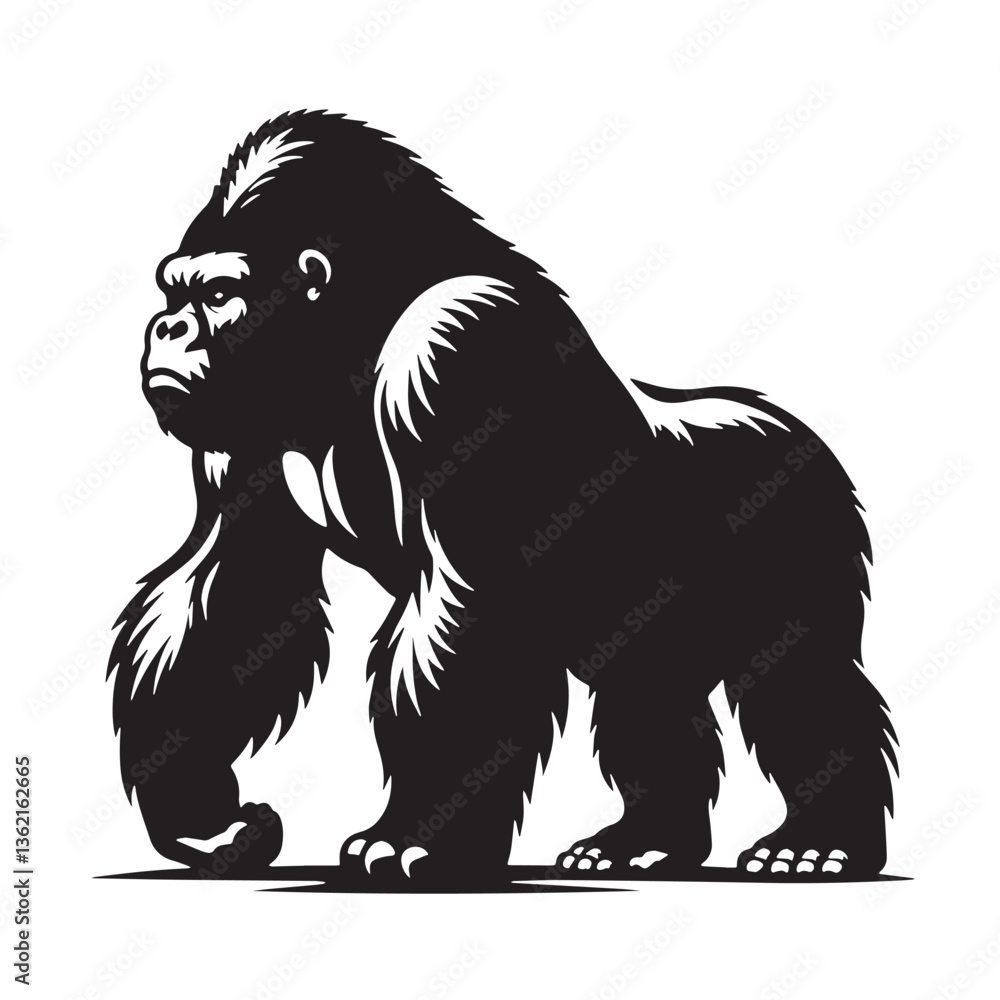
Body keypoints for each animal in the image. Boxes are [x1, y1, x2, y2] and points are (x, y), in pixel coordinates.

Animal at [108, 110, 896, 882]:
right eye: (172, 291)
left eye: (215, 295)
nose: (166, 327)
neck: (350, 335)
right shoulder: (238, 438)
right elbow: (228, 593)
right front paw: (197, 813)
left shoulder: (454, 349)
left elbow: (468, 611)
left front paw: (419, 834)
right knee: (647, 688)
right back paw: (646, 840)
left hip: (801, 514)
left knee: (802, 675)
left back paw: (821, 840)